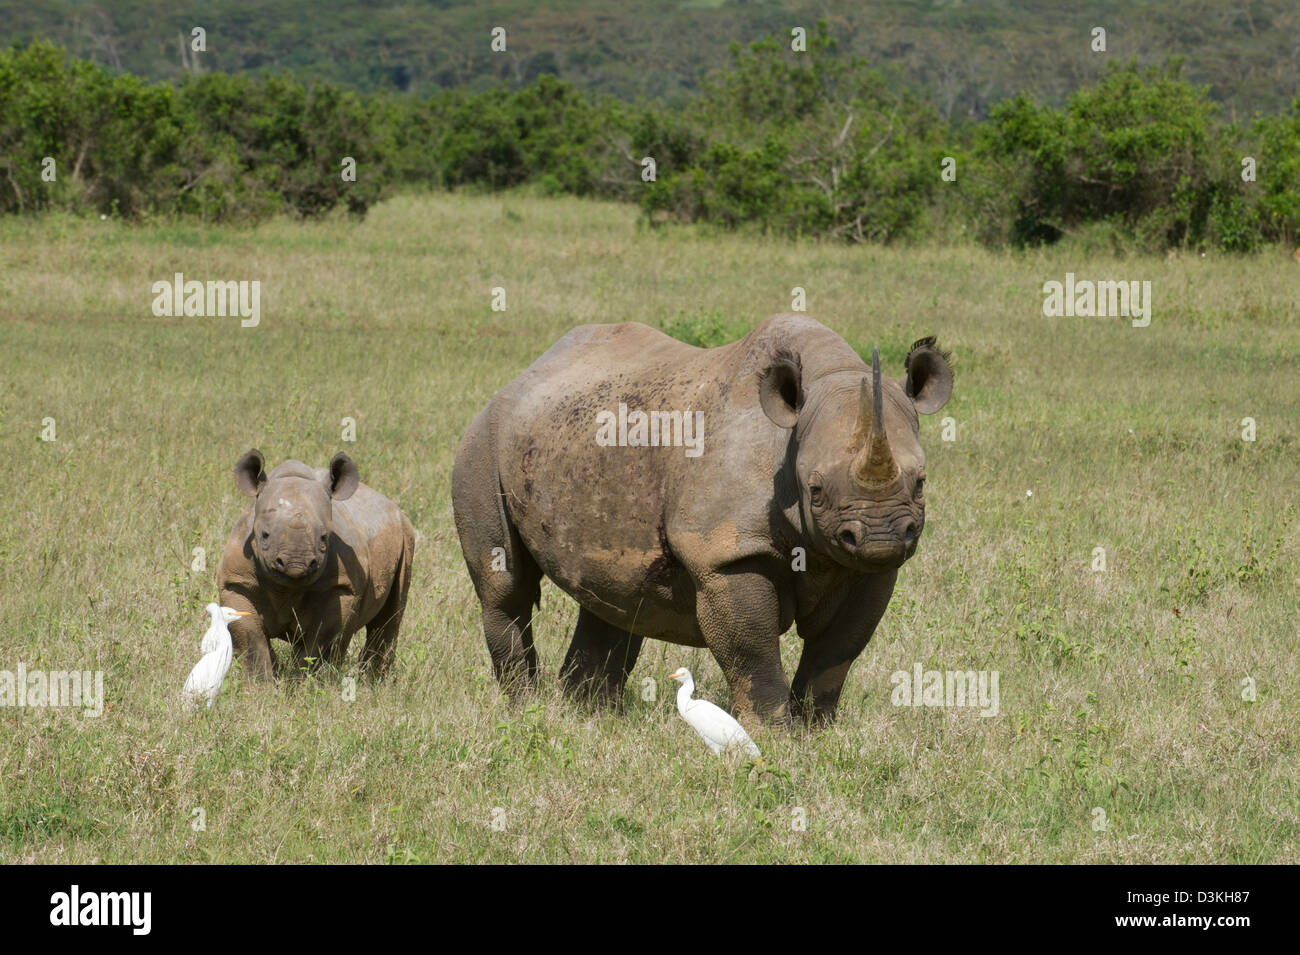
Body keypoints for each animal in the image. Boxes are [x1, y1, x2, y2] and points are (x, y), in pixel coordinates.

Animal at [215, 449, 413, 680]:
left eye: (324, 537)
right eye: (264, 535)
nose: (296, 565)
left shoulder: (342, 588)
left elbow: (322, 644)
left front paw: (306, 684)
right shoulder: (236, 583)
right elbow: (251, 642)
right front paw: (261, 685)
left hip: (406, 534)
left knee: (389, 618)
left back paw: (373, 683)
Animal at [452, 314, 951, 722]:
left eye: (921, 482)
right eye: (816, 491)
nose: (882, 539)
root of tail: (518, 378)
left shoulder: (868, 571)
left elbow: (837, 651)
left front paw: (816, 732)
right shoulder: (724, 555)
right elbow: (752, 652)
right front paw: (771, 735)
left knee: (615, 596)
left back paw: (586, 715)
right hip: (481, 443)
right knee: (506, 586)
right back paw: (526, 710)